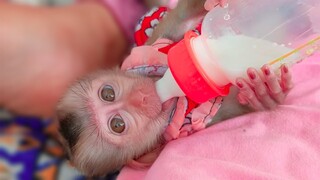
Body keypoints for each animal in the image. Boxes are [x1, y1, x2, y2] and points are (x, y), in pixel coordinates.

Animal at [55, 0, 292, 177]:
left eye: (108, 93)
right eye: (118, 125)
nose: (140, 97)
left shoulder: (148, 48)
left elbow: (181, 23)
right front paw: (263, 92)